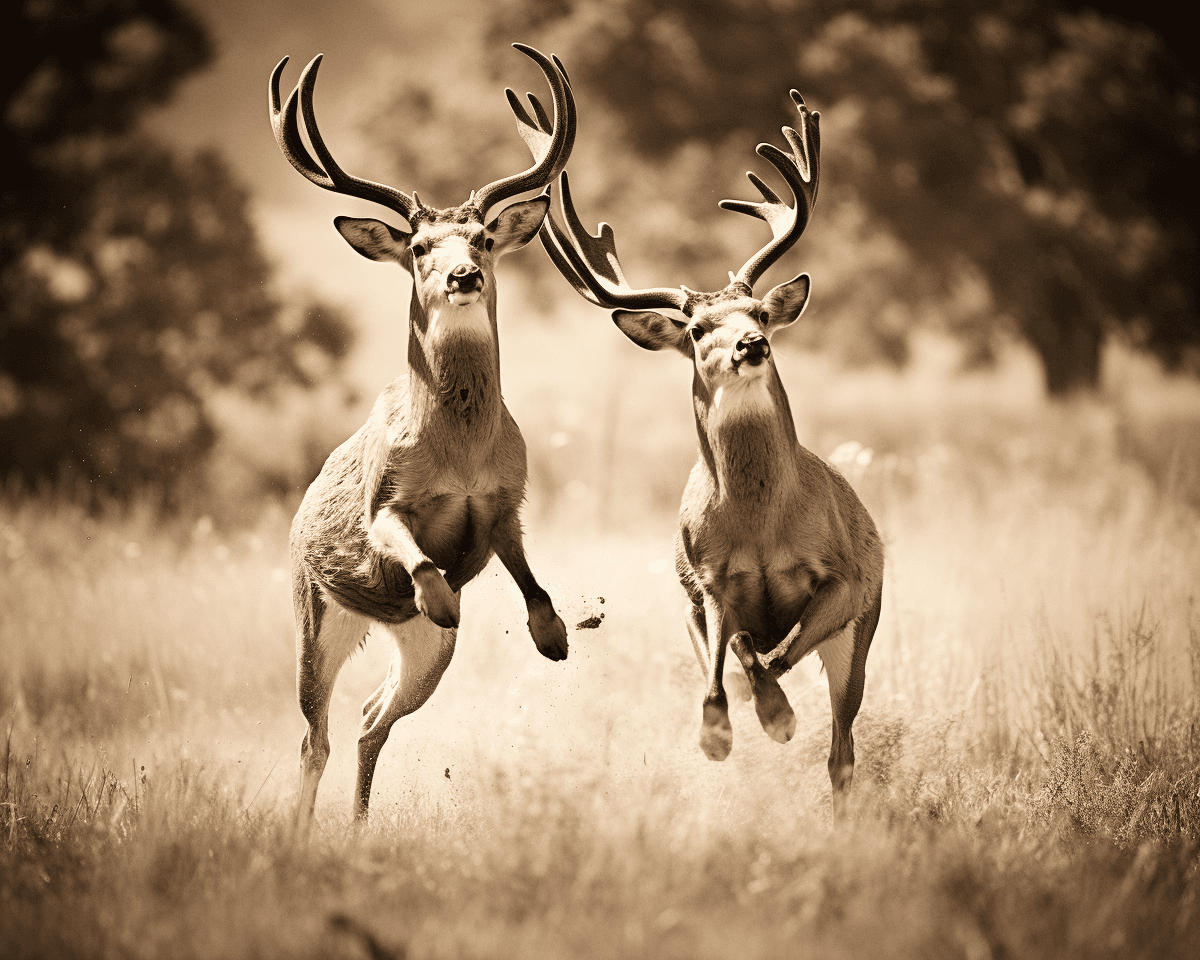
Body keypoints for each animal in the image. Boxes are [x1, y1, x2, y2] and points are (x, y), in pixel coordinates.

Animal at [268, 44, 575, 828]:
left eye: (484, 238)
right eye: (418, 246)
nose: (463, 275)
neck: (460, 456)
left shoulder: (505, 506)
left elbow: (532, 584)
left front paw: (554, 637)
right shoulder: (385, 505)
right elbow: (420, 558)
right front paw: (438, 595)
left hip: (424, 656)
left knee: (371, 719)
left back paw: (357, 827)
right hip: (313, 613)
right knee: (313, 733)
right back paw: (300, 832)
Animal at [522, 89, 884, 813]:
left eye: (761, 312)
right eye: (694, 329)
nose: (751, 344)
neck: (763, 525)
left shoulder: (845, 579)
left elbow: (775, 657)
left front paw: (777, 718)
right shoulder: (707, 584)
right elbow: (732, 662)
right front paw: (729, 732)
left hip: (862, 630)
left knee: (842, 751)